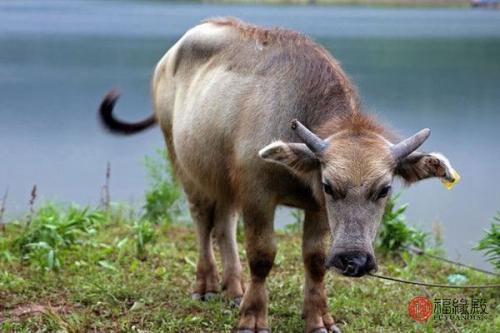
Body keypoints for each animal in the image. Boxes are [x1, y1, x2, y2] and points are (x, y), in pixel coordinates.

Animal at [97, 18, 458, 332]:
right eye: (329, 186)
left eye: (384, 189)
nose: (353, 260)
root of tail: (169, 56)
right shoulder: (258, 194)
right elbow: (262, 255)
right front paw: (253, 319)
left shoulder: (314, 209)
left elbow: (314, 260)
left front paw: (319, 319)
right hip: (183, 161)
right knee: (201, 220)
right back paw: (207, 285)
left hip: (226, 179)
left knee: (224, 224)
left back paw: (235, 287)